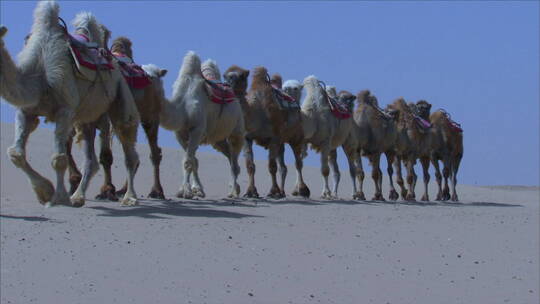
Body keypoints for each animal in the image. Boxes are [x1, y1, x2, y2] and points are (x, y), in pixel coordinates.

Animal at [0, 0, 141, 207]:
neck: (39, 76)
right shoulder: (26, 110)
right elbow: (16, 154)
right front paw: (44, 192)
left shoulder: (64, 110)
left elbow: (58, 159)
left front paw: (58, 198)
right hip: (87, 115)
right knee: (91, 159)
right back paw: (78, 197)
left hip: (120, 93)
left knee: (128, 147)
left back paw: (129, 197)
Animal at [223, 66, 310, 198]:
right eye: (225, 75)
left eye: (242, 76)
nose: (228, 84)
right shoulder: (247, 138)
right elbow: (250, 166)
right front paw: (251, 191)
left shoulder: (274, 137)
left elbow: (272, 166)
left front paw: (273, 191)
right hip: (281, 143)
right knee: (283, 167)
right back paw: (283, 192)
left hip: (296, 136)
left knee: (298, 163)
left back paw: (302, 190)